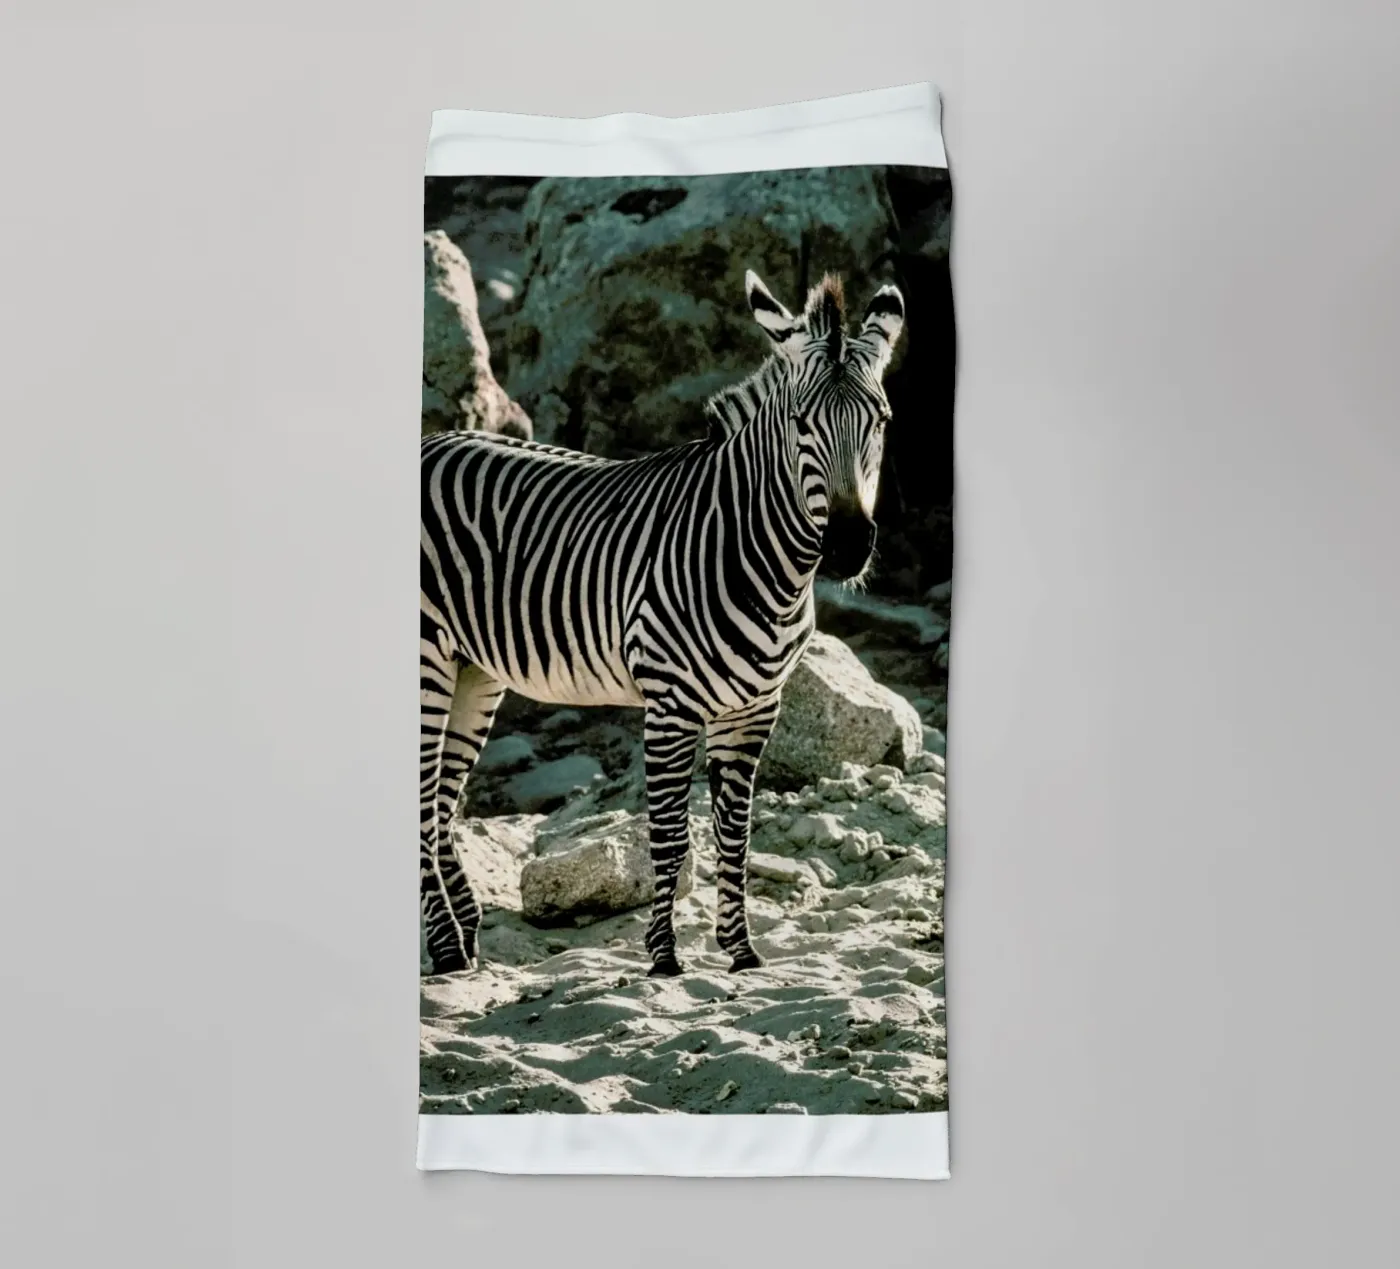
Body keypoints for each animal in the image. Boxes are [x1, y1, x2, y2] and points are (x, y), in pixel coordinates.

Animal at [421, 268, 905, 978]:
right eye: (799, 423)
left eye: (881, 421)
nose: (847, 547)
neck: (757, 555)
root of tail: (430, 440)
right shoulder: (670, 704)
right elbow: (672, 837)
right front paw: (664, 957)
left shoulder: (754, 708)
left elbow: (734, 834)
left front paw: (741, 951)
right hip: (427, 658)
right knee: (421, 798)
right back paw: (446, 947)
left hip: (474, 669)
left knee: (439, 803)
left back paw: (462, 945)